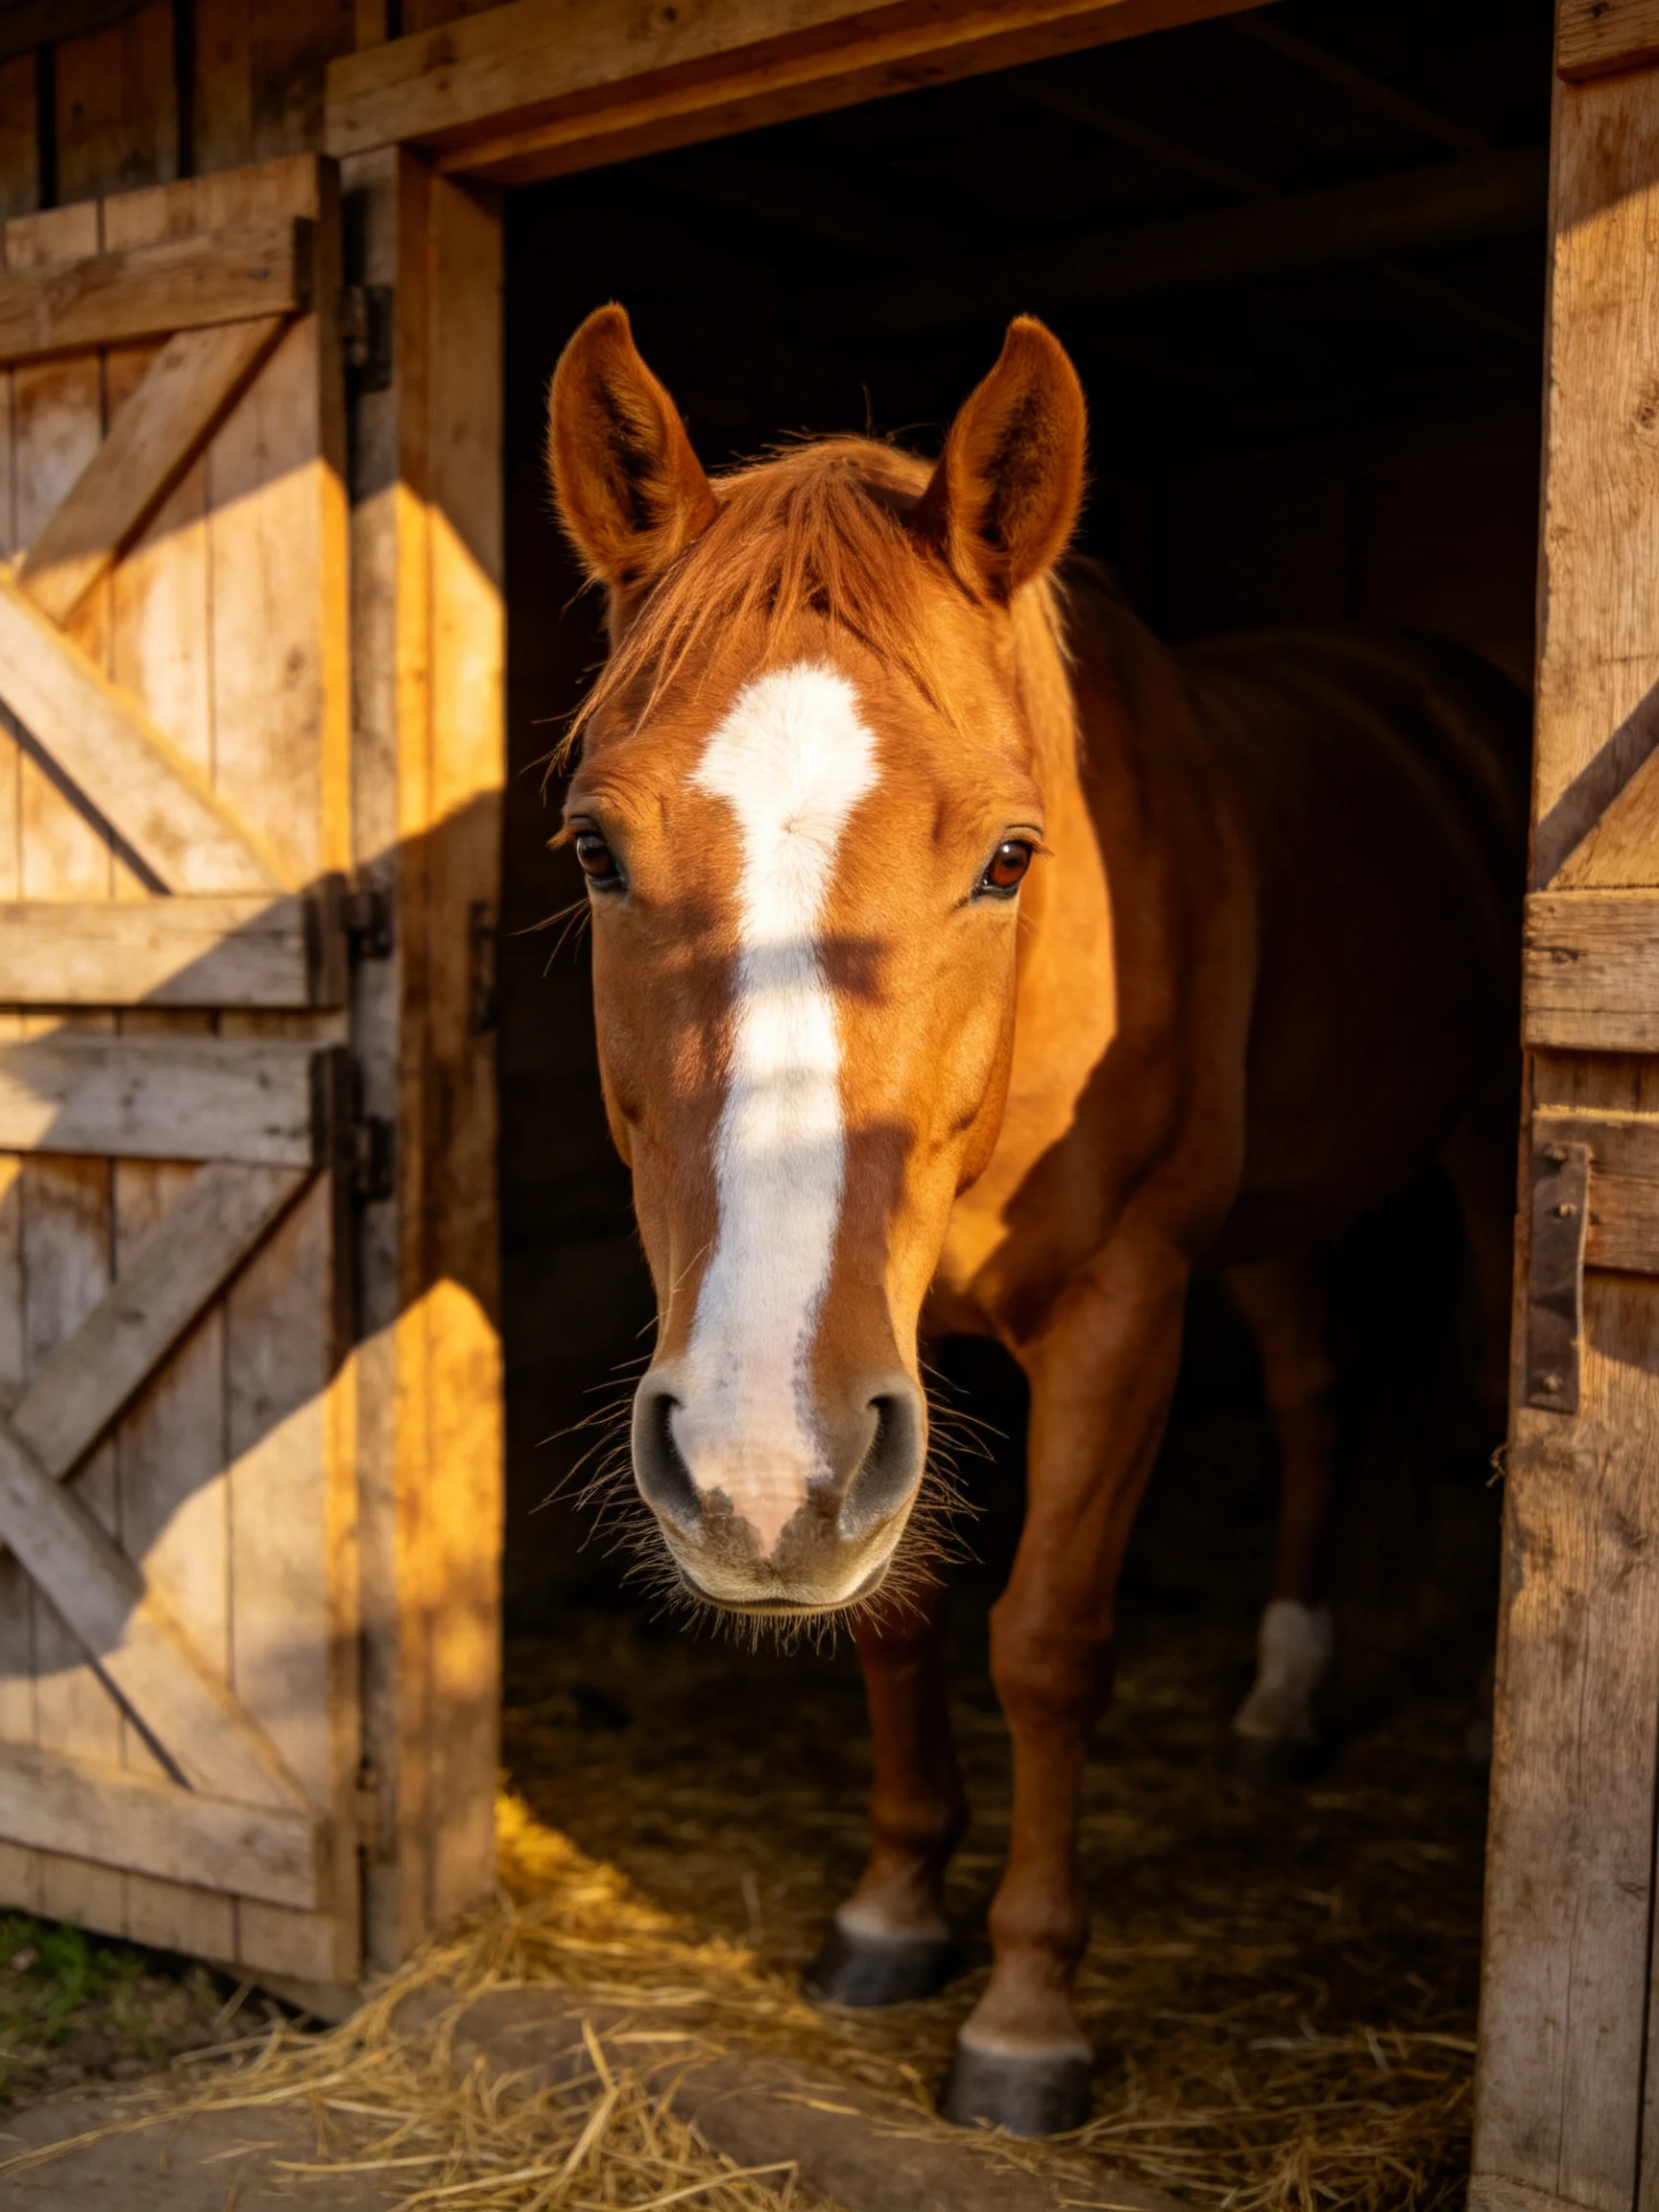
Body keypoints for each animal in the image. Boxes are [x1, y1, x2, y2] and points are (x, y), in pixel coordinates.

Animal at [544, 304, 1527, 2137]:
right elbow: (902, 1617)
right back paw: (1280, 1702)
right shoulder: (889, 1371)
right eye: (594, 850)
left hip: (1486, 1161)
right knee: (1312, 1396)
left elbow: (1049, 1644)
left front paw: (1022, 2018)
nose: (748, 1469)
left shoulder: (1120, 1301)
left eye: (1007, 857)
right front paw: (887, 1914)